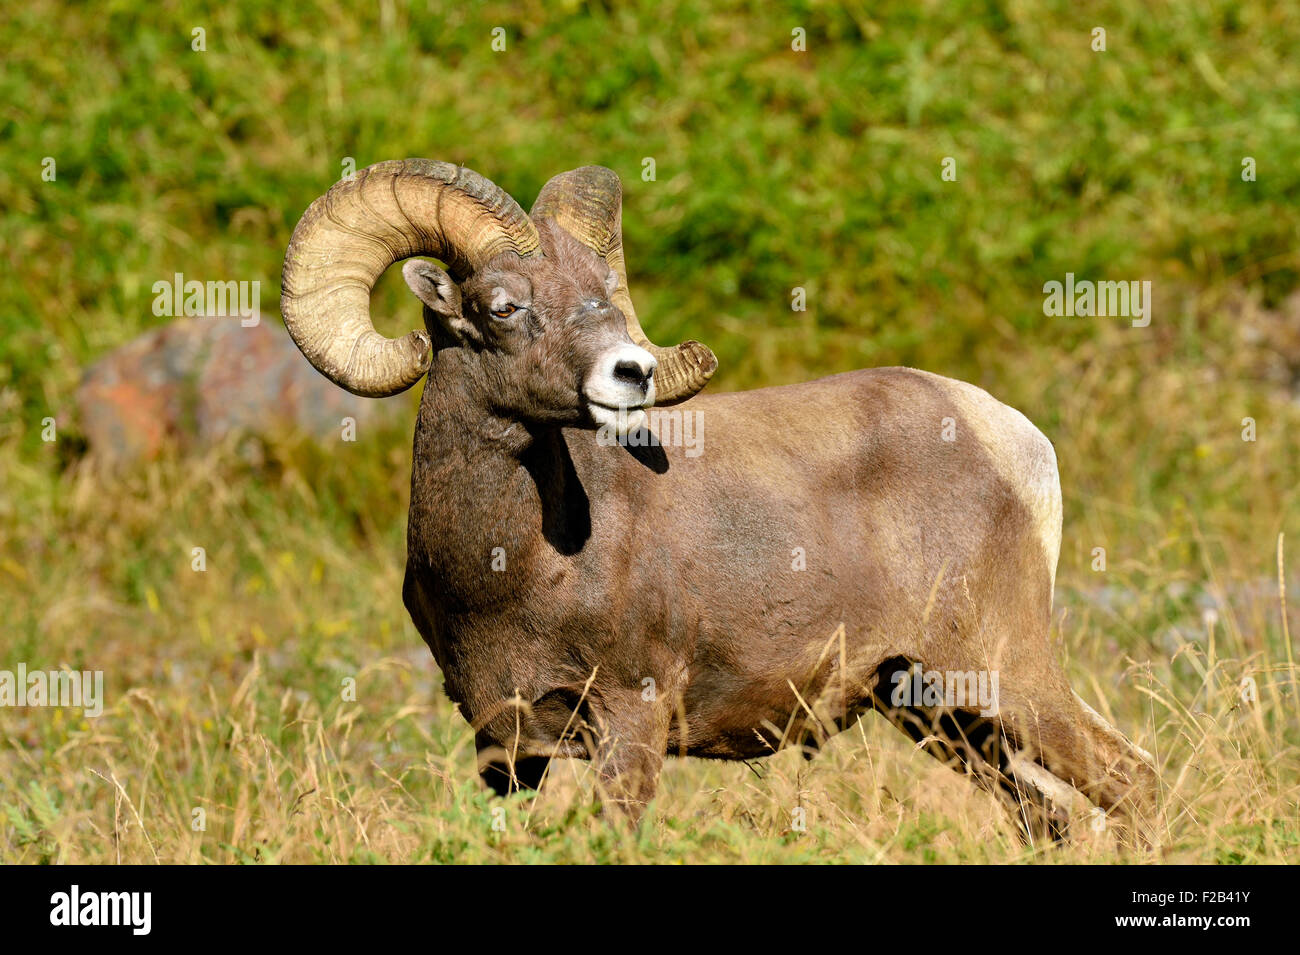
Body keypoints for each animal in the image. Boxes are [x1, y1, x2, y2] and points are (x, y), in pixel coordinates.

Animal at [282, 158, 1159, 841]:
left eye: (604, 294)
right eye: (502, 305)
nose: (631, 373)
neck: (511, 566)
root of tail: (1009, 437)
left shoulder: (629, 722)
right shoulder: (505, 748)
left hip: (1001, 673)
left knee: (1132, 778)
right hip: (933, 706)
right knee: (1047, 816)